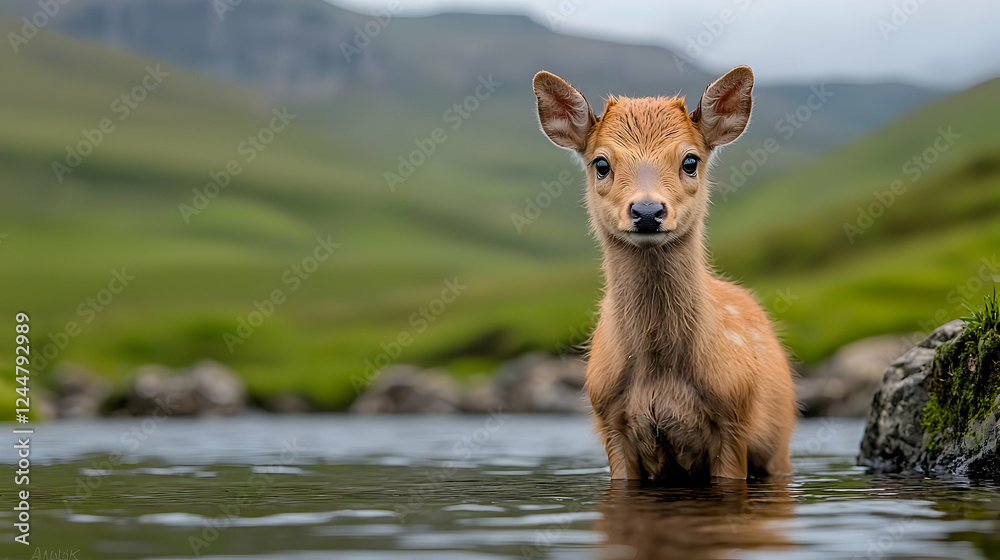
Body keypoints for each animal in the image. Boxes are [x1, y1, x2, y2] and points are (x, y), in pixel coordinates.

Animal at [531, 66, 796, 480]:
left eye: (690, 161)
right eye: (601, 164)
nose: (647, 211)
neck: (661, 375)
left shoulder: (735, 416)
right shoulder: (609, 419)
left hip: (779, 444)